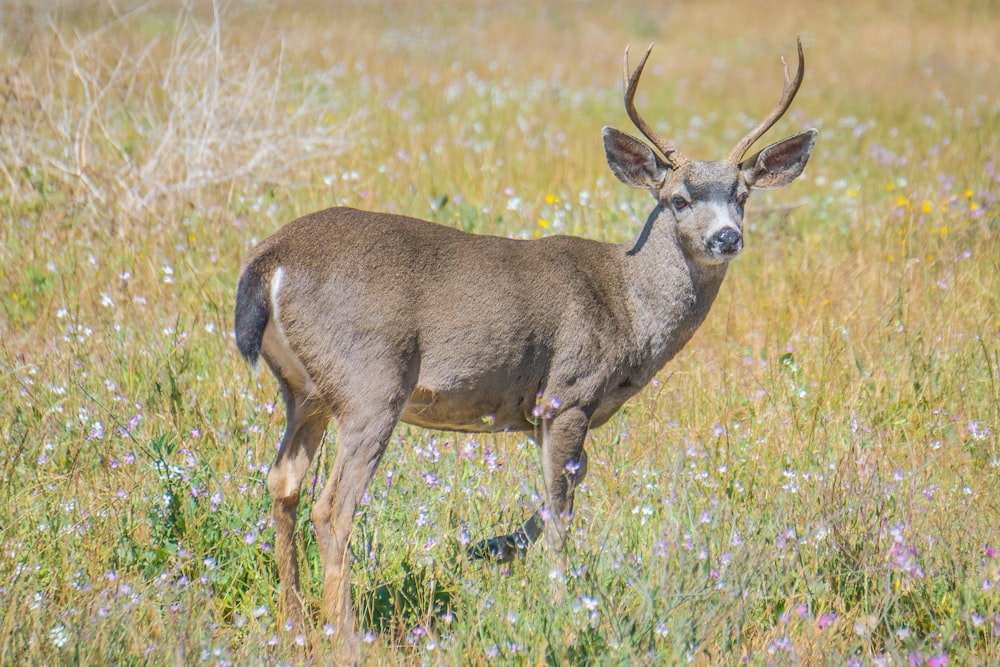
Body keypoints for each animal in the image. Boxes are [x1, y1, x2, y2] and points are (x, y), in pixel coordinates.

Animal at [236, 39, 820, 648]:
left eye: (743, 196)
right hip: (371, 383)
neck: (627, 301)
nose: (726, 237)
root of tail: (270, 261)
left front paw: (494, 548)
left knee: (283, 482)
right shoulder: (569, 392)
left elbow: (556, 493)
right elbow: (562, 510)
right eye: (679, 199)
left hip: (306, 391)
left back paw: (294, 624)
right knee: (332, 507)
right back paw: (347, 636)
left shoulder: (538, 414)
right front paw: (565, 611)